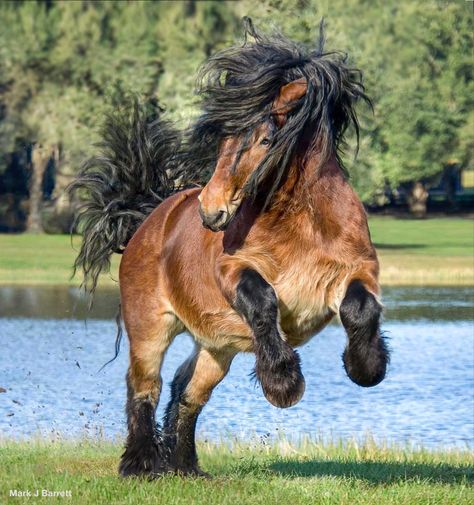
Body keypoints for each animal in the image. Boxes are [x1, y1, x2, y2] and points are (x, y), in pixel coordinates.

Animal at [70, 19, 388, 476]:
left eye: (266, 139)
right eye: (222, 140)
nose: (211, 210)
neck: (303, 224)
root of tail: (146, 223)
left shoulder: (358, 271)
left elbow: (359, 308)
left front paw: (365, 367)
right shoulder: (233, 270)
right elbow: (262, 300)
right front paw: (283, 383)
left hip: (216, 348)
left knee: (187, 392)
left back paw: (185, 465)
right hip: (150, 328)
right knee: (144, 385)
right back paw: (142, 464)